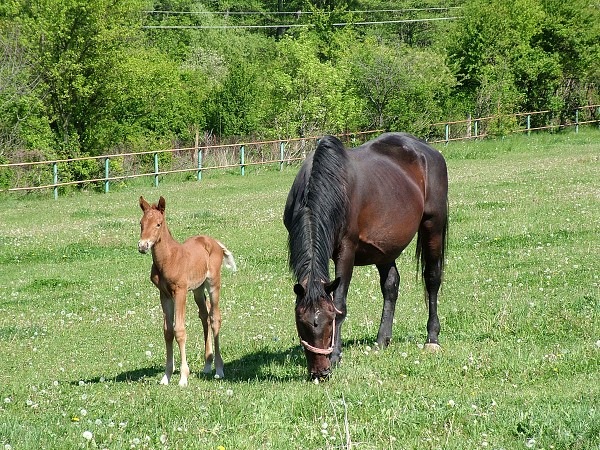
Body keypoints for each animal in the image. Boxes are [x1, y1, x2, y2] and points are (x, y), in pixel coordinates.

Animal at [139, 197, 237, 386]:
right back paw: (207, 365)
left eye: (158, 224)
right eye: (141, 223)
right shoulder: (164, 295)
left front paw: (183, 376)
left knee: (215, 318)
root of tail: (214, 242)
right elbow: (168, 332)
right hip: (198, 289)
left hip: (213, 283)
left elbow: (179, 330)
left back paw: (219, 369)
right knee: (205, 316)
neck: (169, 258)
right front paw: (166, 376)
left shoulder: (180, 292)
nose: (142, 246)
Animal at [284, 133, 448, 380]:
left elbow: (340, 302)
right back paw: (382, 341)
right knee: (391, 286)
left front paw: (336, 355)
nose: (321, 373)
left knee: (432, 279)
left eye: (330, 320)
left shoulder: (346, 250)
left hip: (433, 226)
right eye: (301, 323)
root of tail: (428, 150)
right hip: (385, 248)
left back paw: (432, 338)